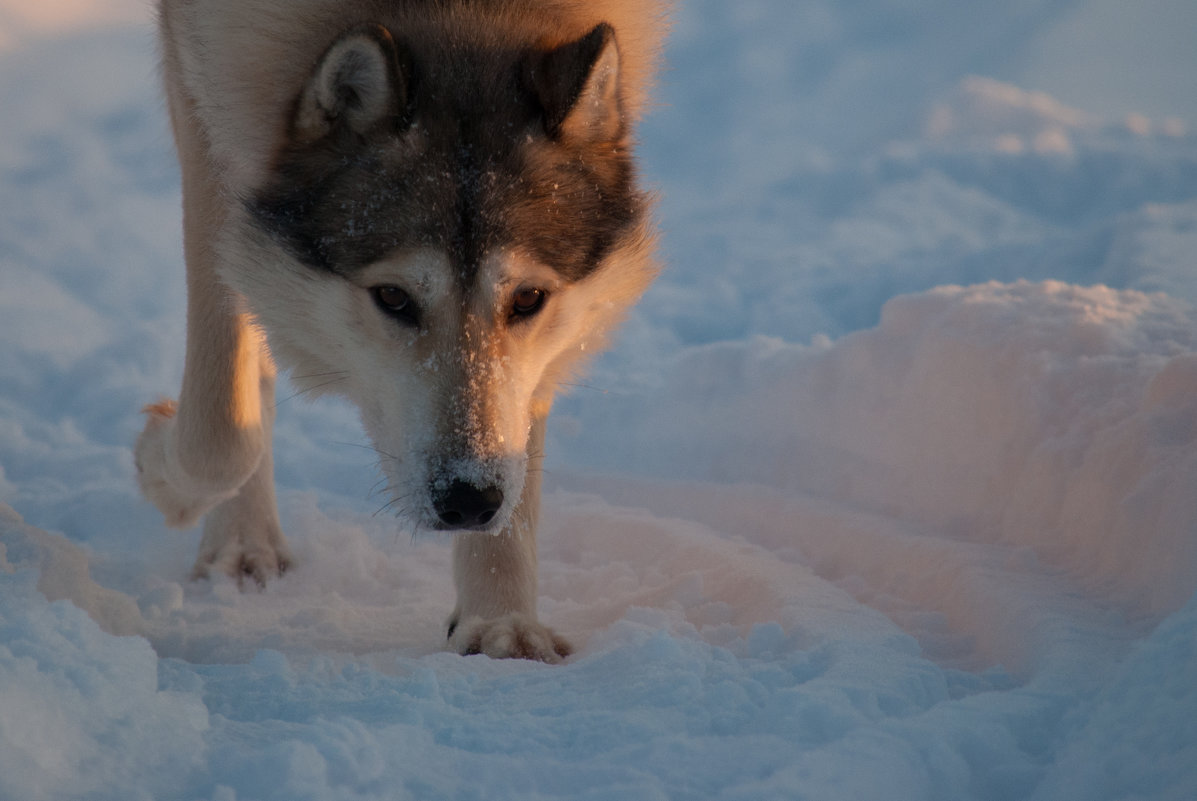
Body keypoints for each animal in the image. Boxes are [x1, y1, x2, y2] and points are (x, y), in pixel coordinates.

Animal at [135, 0, 670, 660]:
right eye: (393, 297)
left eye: (528, 299)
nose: (468, 500)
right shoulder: (204, 87)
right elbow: (221, 432)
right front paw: (160, 469)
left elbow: (519, 459)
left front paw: (500, 626)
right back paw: (240, 550)